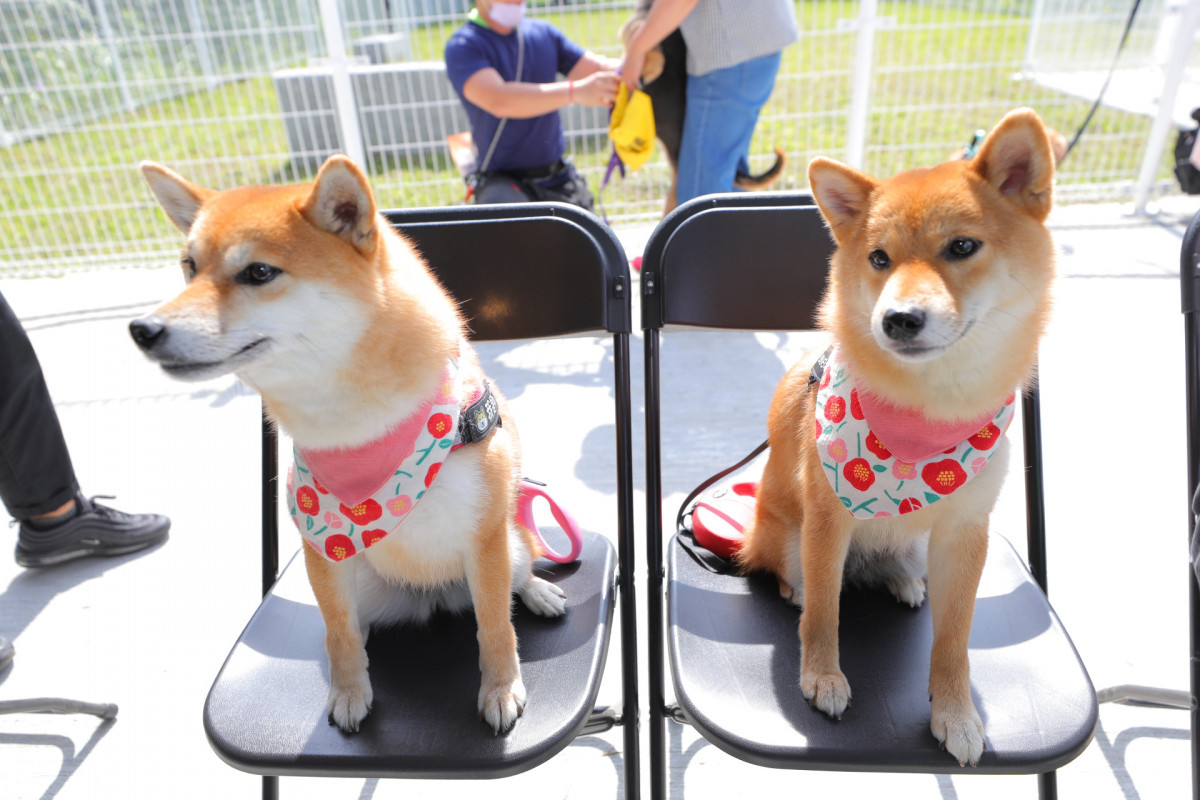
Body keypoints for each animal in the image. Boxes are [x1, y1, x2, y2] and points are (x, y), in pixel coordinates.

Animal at [129, 153, 568, 734]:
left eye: (259, 272)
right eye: (189, 266)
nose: (143, 329)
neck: (359, 430)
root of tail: (432, 597)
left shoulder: (484, 538)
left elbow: (496, 626)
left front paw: (500, 689)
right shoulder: (323, 549)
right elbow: (338, 631)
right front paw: (348, 691)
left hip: (509, 543)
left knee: (520, 571)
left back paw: (537, 591)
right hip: (364, 584)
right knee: (350, 626)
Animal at [734, 109, 1056, 767]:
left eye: (962, 246)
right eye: (879, 258)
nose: (898, 319)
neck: (927, 415)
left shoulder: (965, 532)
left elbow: (954, 639)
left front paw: (955, 714)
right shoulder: (827, 518)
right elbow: (825, 614)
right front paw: (822, 677)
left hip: (914, 546)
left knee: (893, 566)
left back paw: (902, 580)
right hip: (787, 536)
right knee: (803, 581)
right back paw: (799, 588)